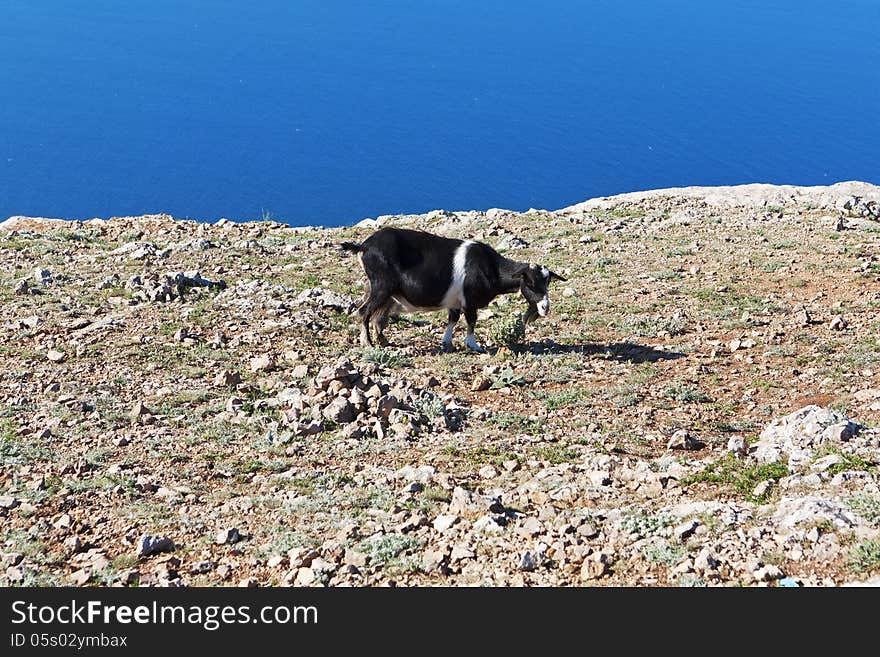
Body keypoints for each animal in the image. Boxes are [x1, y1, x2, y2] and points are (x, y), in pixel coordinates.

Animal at [336, 227, 564, 352]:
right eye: (530, 283)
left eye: (548, 282)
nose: (545, 307)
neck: (490, 267)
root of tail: (363, 246)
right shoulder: (470, 300)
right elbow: (471, 321)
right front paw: (474, 345)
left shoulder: (455, 302)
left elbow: (452, 319)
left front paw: (447, 343)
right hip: (382, 286)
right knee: (365, 311)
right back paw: (368, 343)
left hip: (385, 290)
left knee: (377, 314)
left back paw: (383, 341)